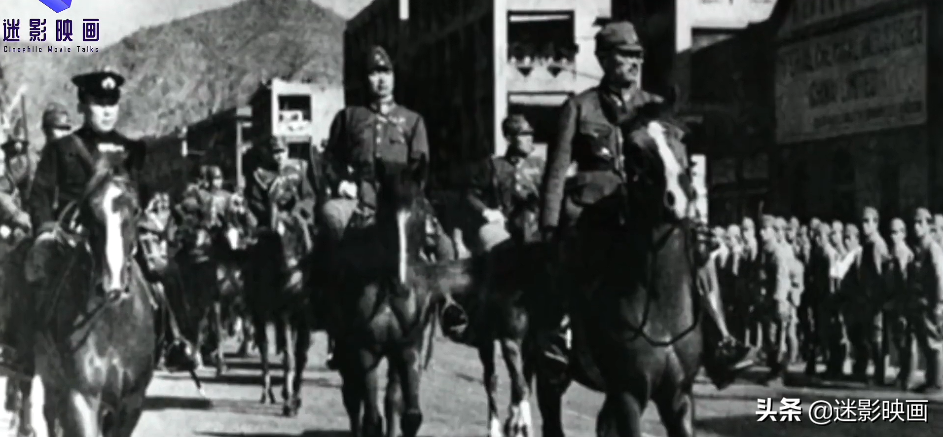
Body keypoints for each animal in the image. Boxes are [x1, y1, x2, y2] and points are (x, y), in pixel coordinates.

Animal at [536, 114, 704, 434]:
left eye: (681, 137)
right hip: (550, 373)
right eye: (635, 148)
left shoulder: (679, 397)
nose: (678, 197)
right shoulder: (629, 394)